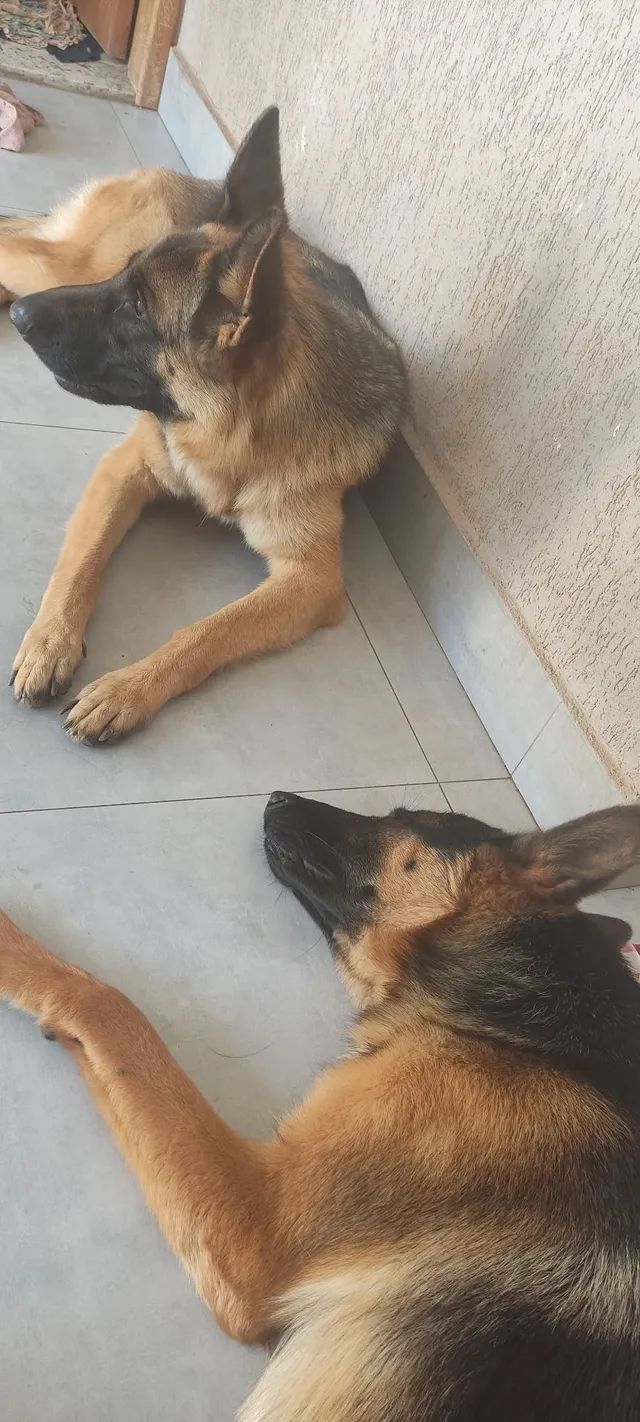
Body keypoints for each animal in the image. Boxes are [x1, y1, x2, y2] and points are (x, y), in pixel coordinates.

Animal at [2, 110, 403, 745]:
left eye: (136, 309)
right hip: (61, 266)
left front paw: (129, 688)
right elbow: (79, 563)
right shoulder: (125, 468)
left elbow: (208, 631)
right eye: (126, 286)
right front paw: (50, 641)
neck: (232, 434)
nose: (21, 319)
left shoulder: (309, 580)